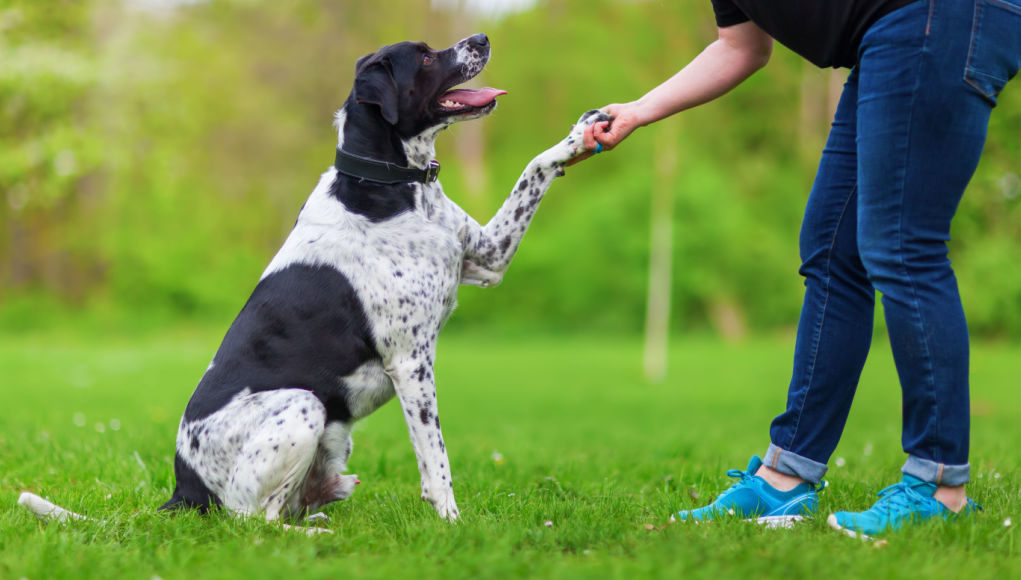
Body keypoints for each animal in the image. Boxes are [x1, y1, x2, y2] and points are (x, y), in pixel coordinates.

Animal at [19, 32, 604, 530]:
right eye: (425, 57)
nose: (481, 38)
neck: (391, 185)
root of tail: (184, 490)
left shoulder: (488, 258)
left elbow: (534, 168)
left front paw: (583, 134)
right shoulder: (410, 361)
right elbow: (435, 460)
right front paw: (452, 524)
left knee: (284, 507)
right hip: (303, 406)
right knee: (253, 520)